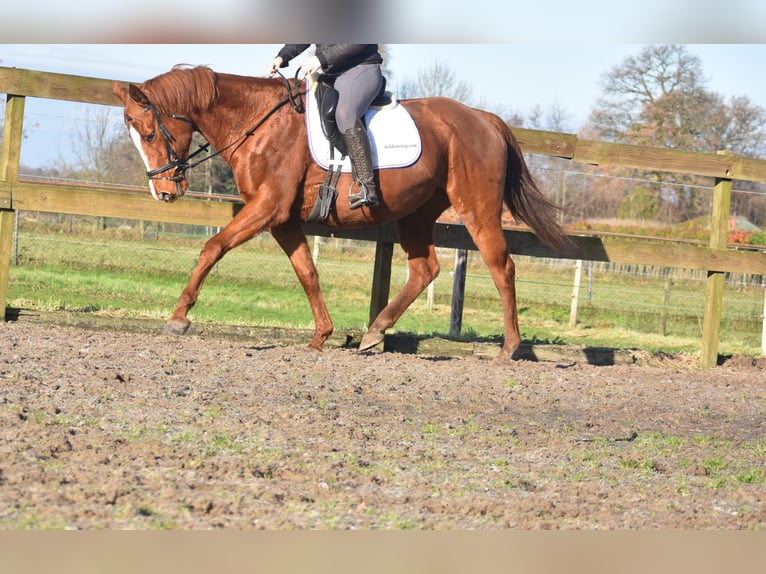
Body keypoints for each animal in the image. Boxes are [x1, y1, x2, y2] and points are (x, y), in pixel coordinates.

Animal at [112, 65, 568, 362]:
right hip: (416, 213)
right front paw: (321, 335)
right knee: (424, 270)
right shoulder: (282, 219)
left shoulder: (266, 207)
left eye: (149, 134)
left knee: (500, 266)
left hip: (477, 207)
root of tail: (484, 119)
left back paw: (510, 347)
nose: (163, 191)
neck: (257, 123)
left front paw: (178, 318)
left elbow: (213, 247)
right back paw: (374, 332)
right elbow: (307, 272)